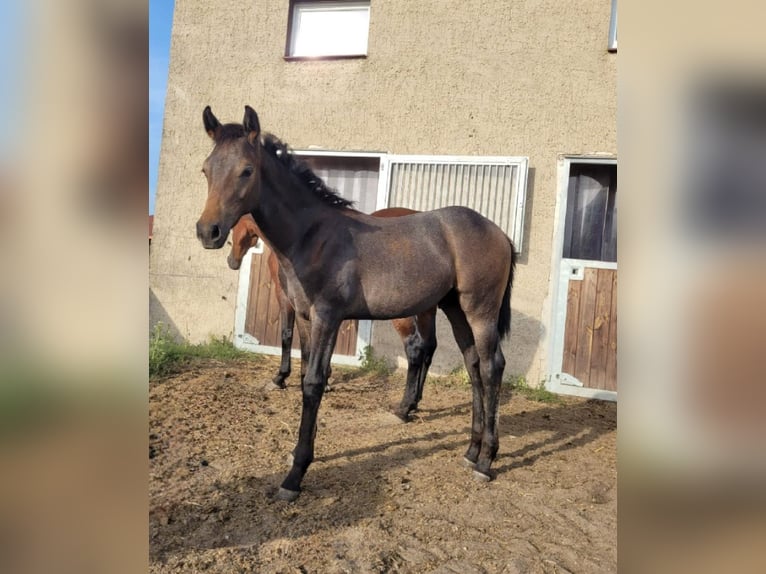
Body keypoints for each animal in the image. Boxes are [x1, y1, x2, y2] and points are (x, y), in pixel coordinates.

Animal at [228, 209, 438, 420]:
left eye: (235, 224)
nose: (232, 261)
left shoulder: (286, 299)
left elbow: (288, 336)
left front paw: (281, 378)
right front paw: (325, 379)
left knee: (415, 348)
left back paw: (405, 408)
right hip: (427, 310)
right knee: (429, 346)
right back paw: (415, 400)